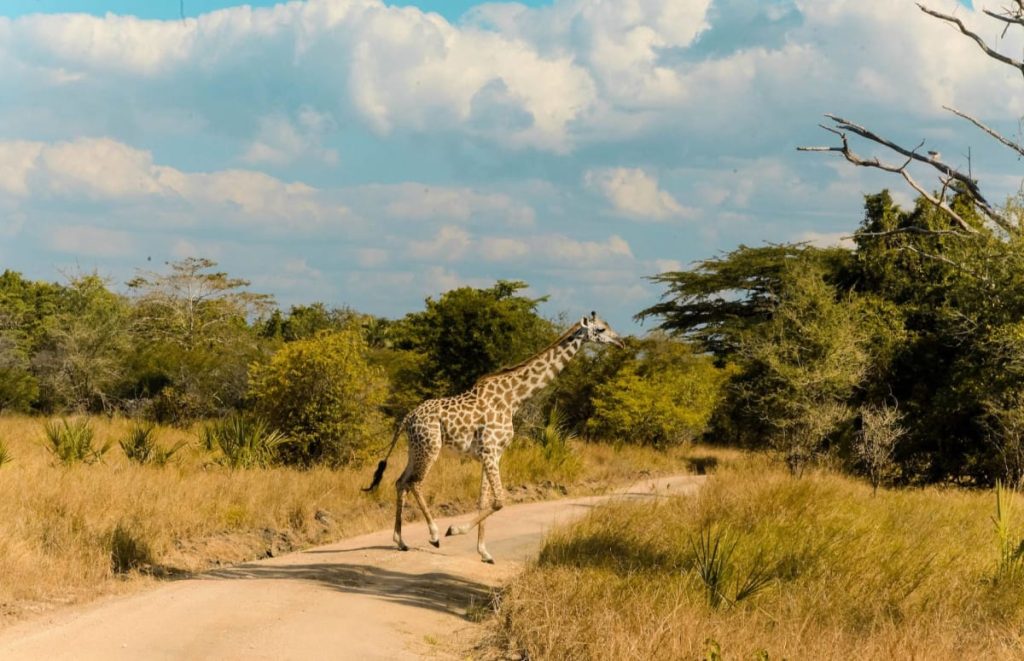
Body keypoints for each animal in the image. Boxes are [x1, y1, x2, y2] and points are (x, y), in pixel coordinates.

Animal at [366, 313, 622, 560]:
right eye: (601, 329)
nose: (620, 342)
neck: (513, 398)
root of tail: (407, 418)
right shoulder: (490, 451)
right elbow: (499, 500)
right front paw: (454, 530)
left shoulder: (492, 454)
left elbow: (484, 500)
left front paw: (484, 552)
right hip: (430, 447)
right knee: (415, 482)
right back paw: (434, 534)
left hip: (415, 448)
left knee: (401, 482)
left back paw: (400, 541)